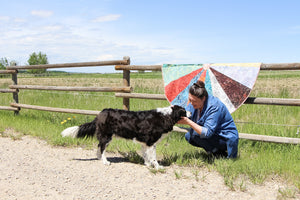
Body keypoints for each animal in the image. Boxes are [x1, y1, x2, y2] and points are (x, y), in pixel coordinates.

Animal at [61, 105, 190, 170]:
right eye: (184, 110)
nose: (190, 113)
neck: (166, 115)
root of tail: (101, 113)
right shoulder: (151, 142)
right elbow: (153, 157)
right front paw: (157, 167)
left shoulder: (144, 142)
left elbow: (145, 155)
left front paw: (147, 164)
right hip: (107, 136)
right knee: (102, 148)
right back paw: (105, 161)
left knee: (99, 146)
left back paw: (99, 158)